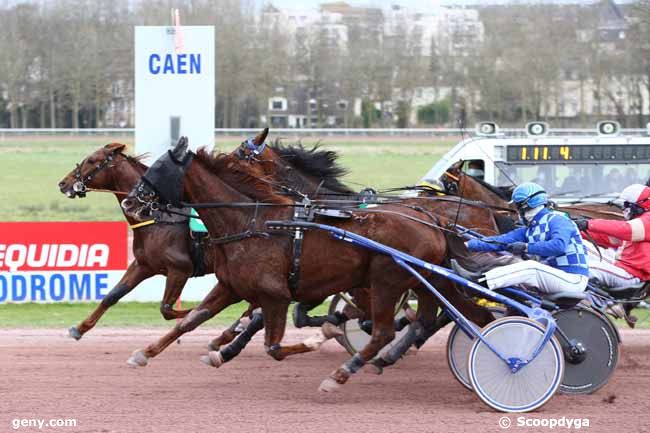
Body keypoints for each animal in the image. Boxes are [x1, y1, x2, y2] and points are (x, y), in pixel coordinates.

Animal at [119, 138, 488, 392]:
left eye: (158, 170)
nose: (130, 203)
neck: (253, 221)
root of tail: (433, 219)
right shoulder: (231, 286)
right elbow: (190, 321)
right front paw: (145, 354)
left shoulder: (276, 295)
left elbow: (274, 346)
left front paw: (319, 337)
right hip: (429, 280)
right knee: (449, 317)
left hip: (387, 281)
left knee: (384, 330)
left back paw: (341, 374)